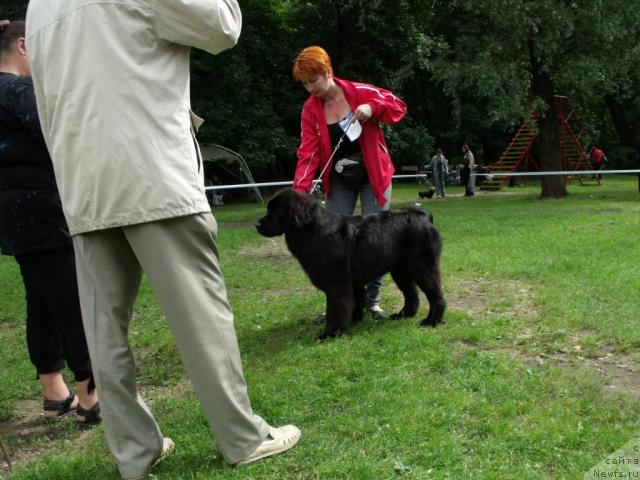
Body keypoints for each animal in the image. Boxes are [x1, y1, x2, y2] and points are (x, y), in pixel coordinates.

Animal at [255, 189, 444, 340]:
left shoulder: (337, 284)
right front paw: (353, 322)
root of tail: (425, 217)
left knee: (435, 295)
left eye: (275, 211)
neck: (312, 230)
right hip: (400, 270)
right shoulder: (351, 282)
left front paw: (330, 334)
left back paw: (432, 321)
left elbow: (336, 310)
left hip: (422, 267)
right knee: (411, 294)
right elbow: (353, 304)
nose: (256, 224)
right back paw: (403, 315)